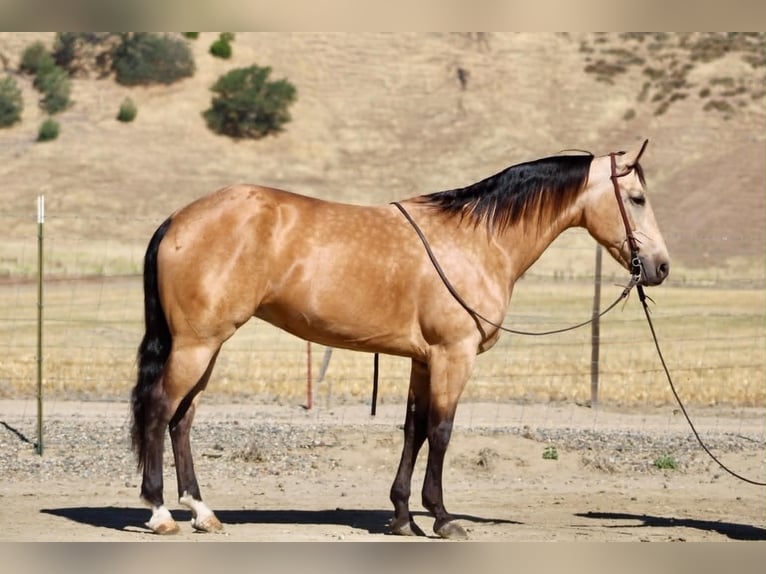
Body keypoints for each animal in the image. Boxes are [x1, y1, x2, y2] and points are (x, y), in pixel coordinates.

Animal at [130, 139, 669, 538]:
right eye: (638, 199)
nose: (660, 267)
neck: (478, 240)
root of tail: (179, 218)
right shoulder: (454, 356)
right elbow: (442, 430)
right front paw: (443, 517)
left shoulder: (422, 360)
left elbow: (414, 429)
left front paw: (403, 516)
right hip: (196, 345)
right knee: (159, 411)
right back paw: (159, 513)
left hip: (207, 347)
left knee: (183, 420)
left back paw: (202, 512)